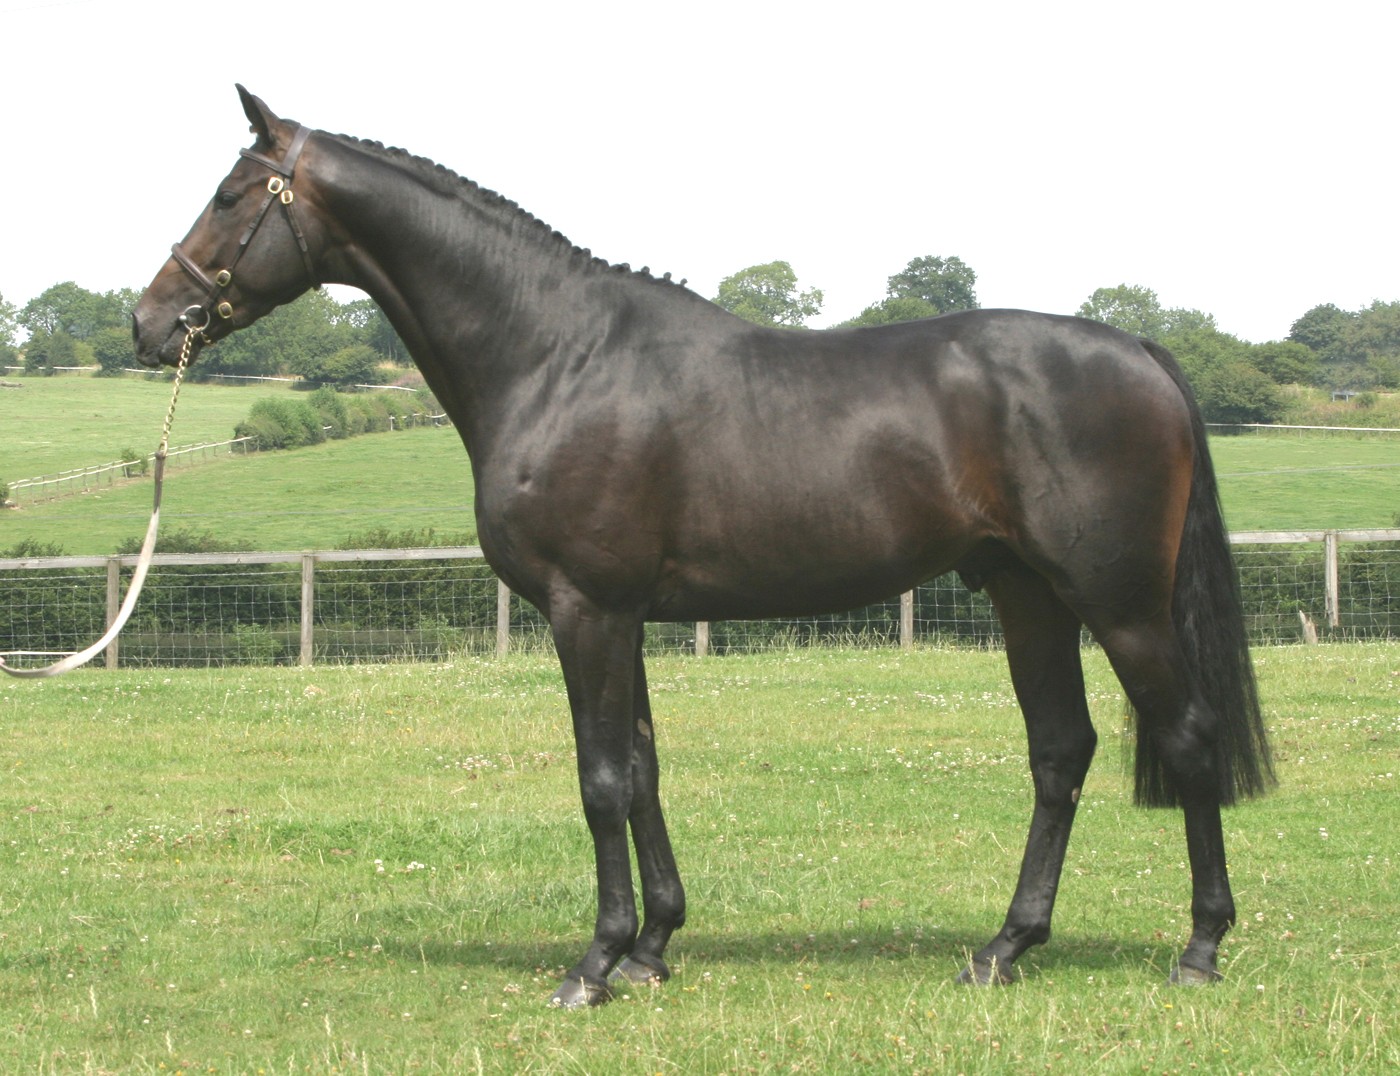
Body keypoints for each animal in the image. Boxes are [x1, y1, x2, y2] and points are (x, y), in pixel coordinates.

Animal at [132, 86, 1273, 1008]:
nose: (150, 322)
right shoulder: (624, 614)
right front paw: (652, 948)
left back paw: (1199, 949)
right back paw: (1003, 948)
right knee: (1059, 750)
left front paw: (593, 966)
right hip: (1024, 592)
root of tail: (1140, 353)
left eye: (232, 195)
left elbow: (599, 778)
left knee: (1185, 734)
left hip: (1117, 601)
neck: (556, 355)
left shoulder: (586, 608)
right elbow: (641, 769)